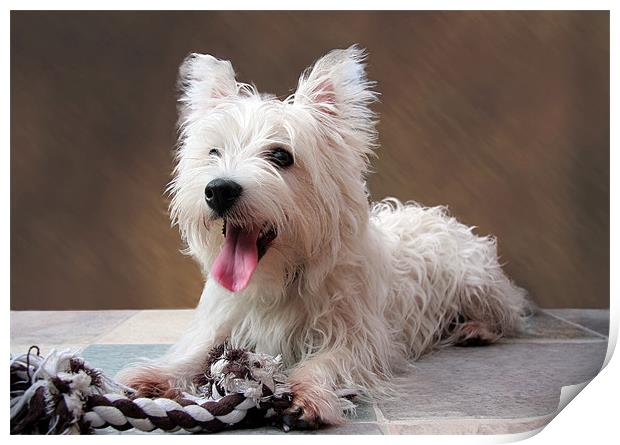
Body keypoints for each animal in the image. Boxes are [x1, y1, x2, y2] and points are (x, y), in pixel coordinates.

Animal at [120, 44, 528, 426]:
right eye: (213, 151)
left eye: (281, 156)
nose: (219, 190)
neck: (283, 279)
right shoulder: (225, 319)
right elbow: (196, 351)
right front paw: (155, 376)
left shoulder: (360, 338)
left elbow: (327, 362)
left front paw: (306, 395)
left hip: (476, 281)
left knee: (510, 312)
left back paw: (475, 329)